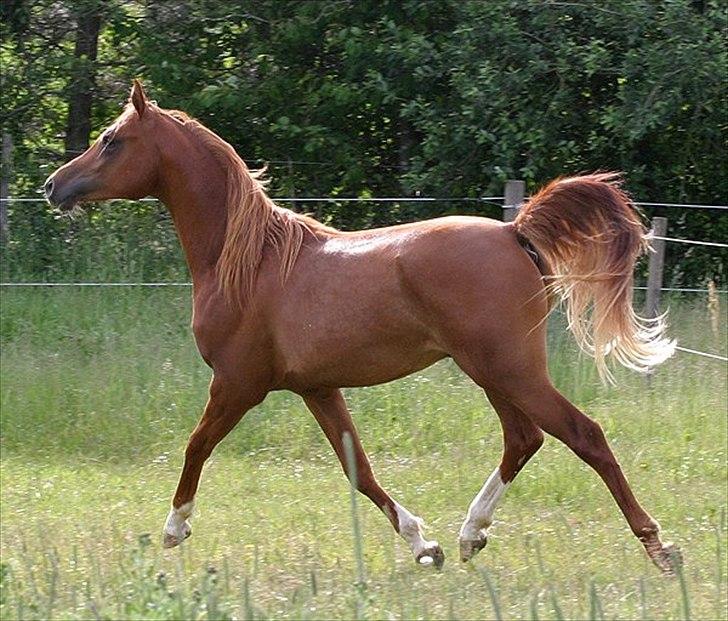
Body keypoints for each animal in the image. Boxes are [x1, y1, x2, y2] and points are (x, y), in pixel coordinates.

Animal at [45, 81, 680, 572]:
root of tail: (513, 231)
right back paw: (469, 535)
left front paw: (174, 528)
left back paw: (659, 549)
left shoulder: (237, 383)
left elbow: (196, 444)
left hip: (508, 369)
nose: (54, 185)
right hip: (495, 372)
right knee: (524, 439)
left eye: (111, 139)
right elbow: (361, 471)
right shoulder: (316, 387)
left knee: (584, 436)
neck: (247, 261)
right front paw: (423, 546)